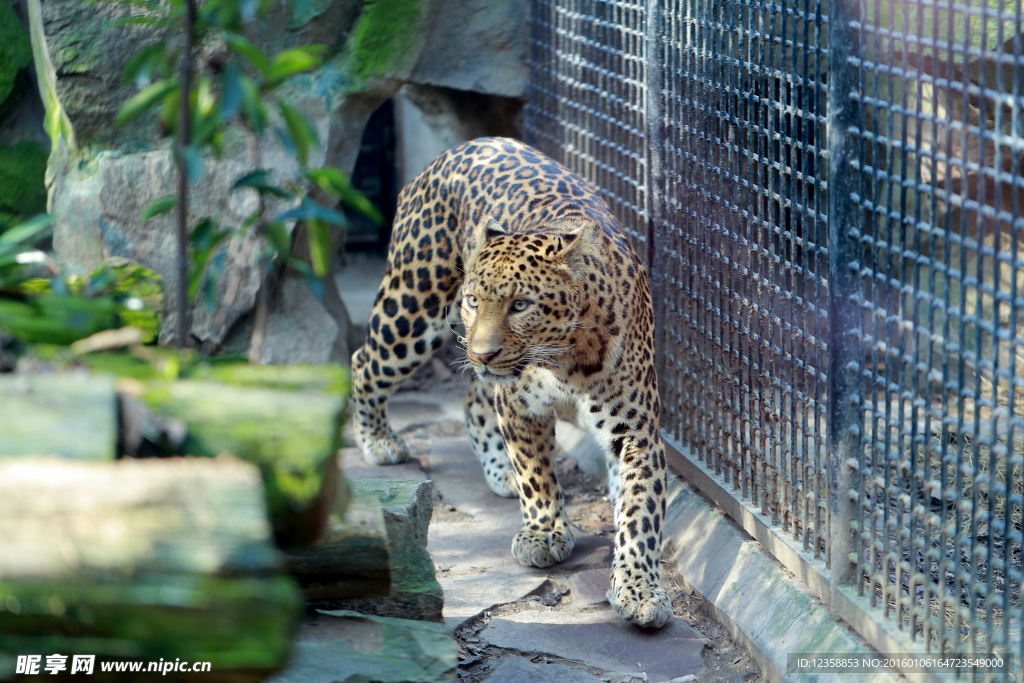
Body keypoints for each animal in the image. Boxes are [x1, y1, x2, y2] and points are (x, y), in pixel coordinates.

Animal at [350, 137, 671, 630]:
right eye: (472, 300)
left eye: (521, 305)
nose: (482, 352)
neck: (567, 359)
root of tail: (461, 147)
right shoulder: (520, 408)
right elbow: (536, 475)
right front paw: (543, 533)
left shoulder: (635, 431)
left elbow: (640, 509)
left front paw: (639, 589)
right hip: (410, 307)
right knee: (364, 361)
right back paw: (377, 441)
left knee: (472, 401)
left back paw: (497, 469)